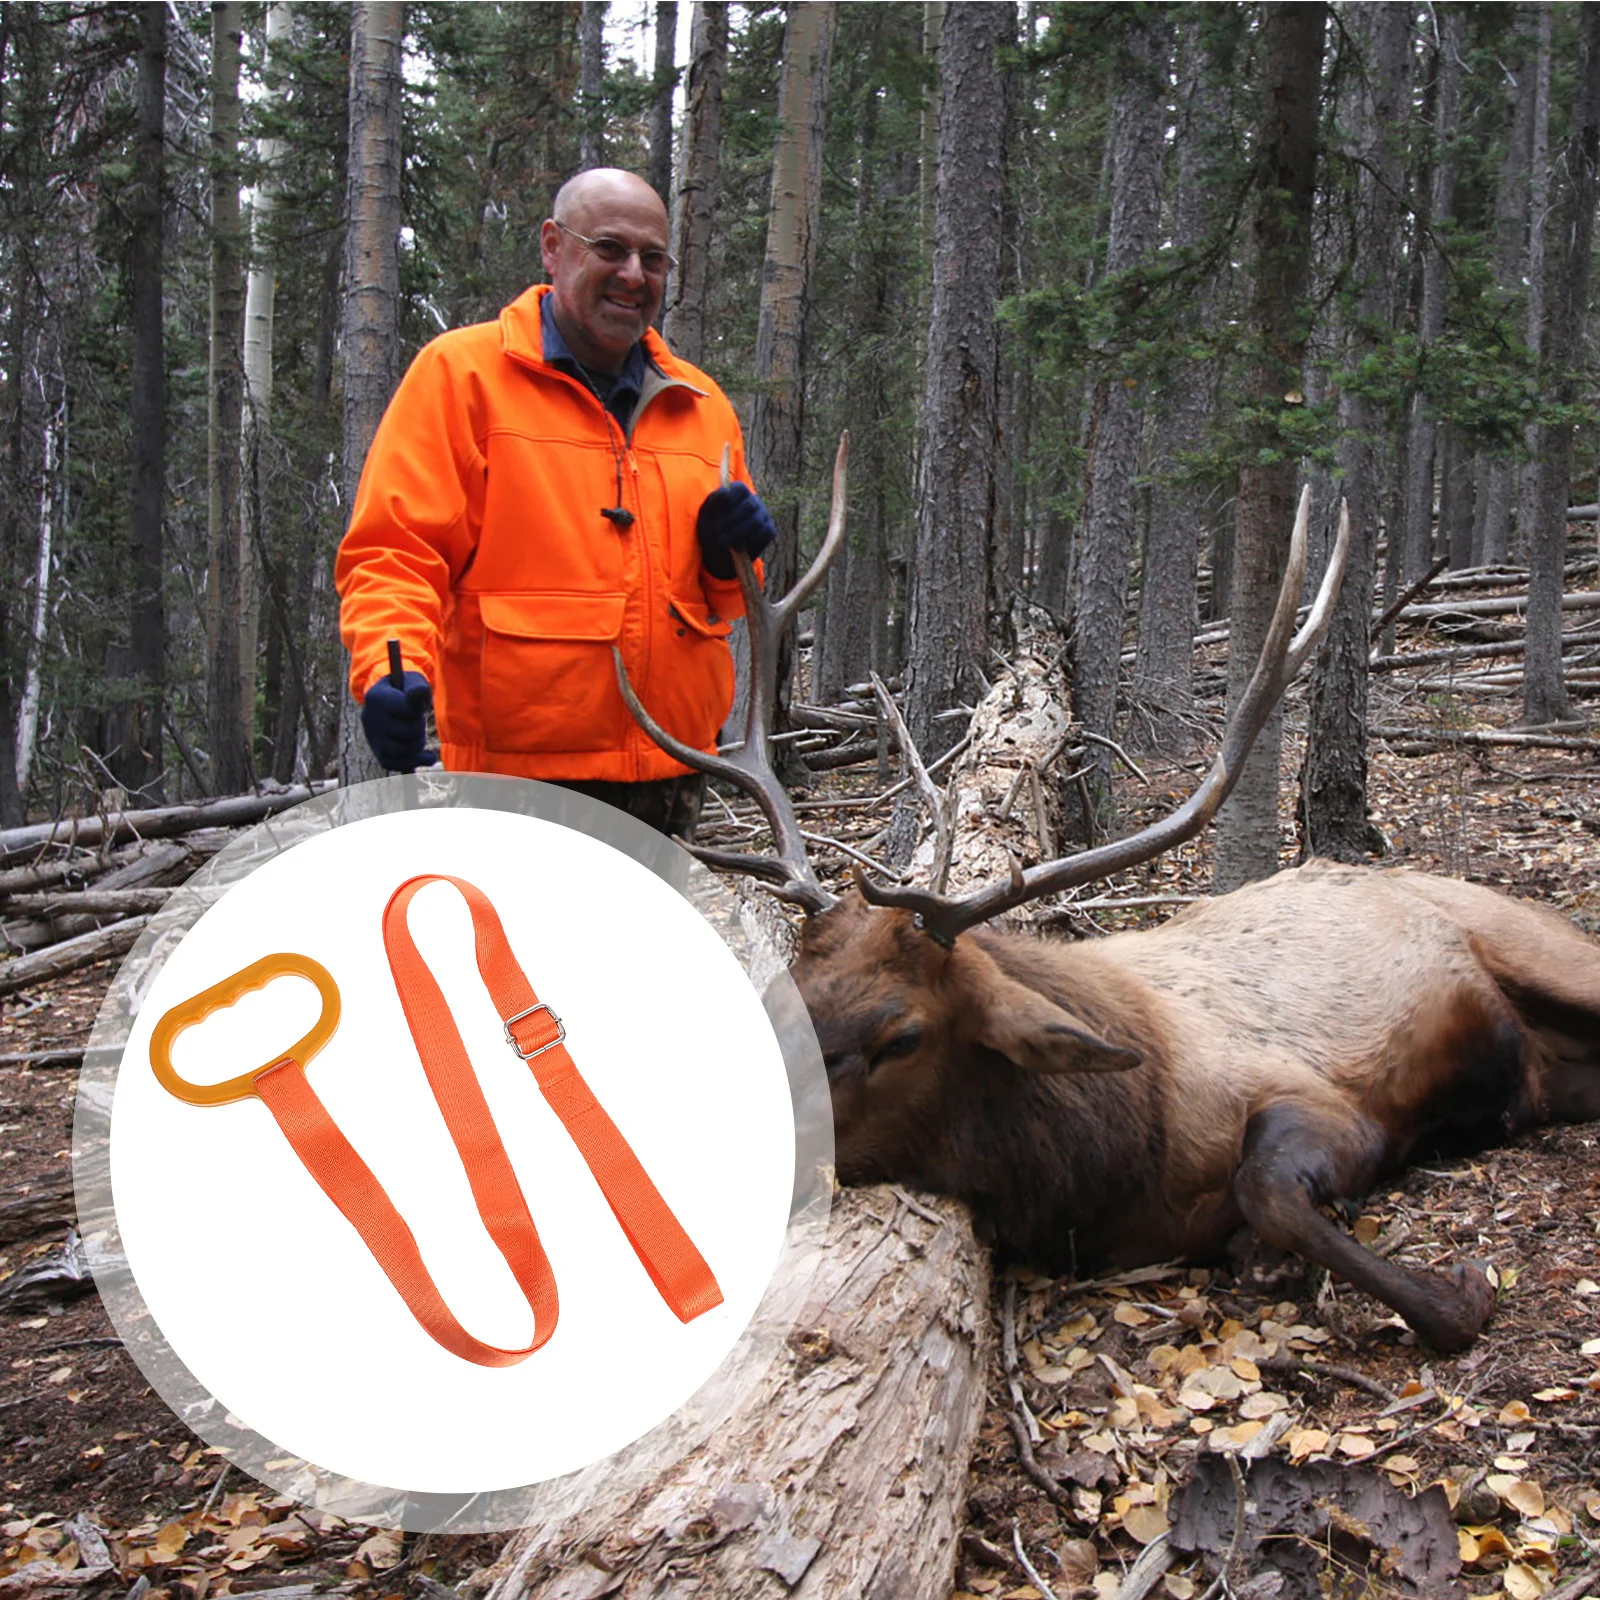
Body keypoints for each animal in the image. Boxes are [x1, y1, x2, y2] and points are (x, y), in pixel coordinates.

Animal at [616, 437, 1600, 1352]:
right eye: (783, 1001)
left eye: (901, 1038)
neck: (1114, 1161)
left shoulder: (1319, 1095)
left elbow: (1269, 1192)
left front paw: (1461, 1293)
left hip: (1543, 950)